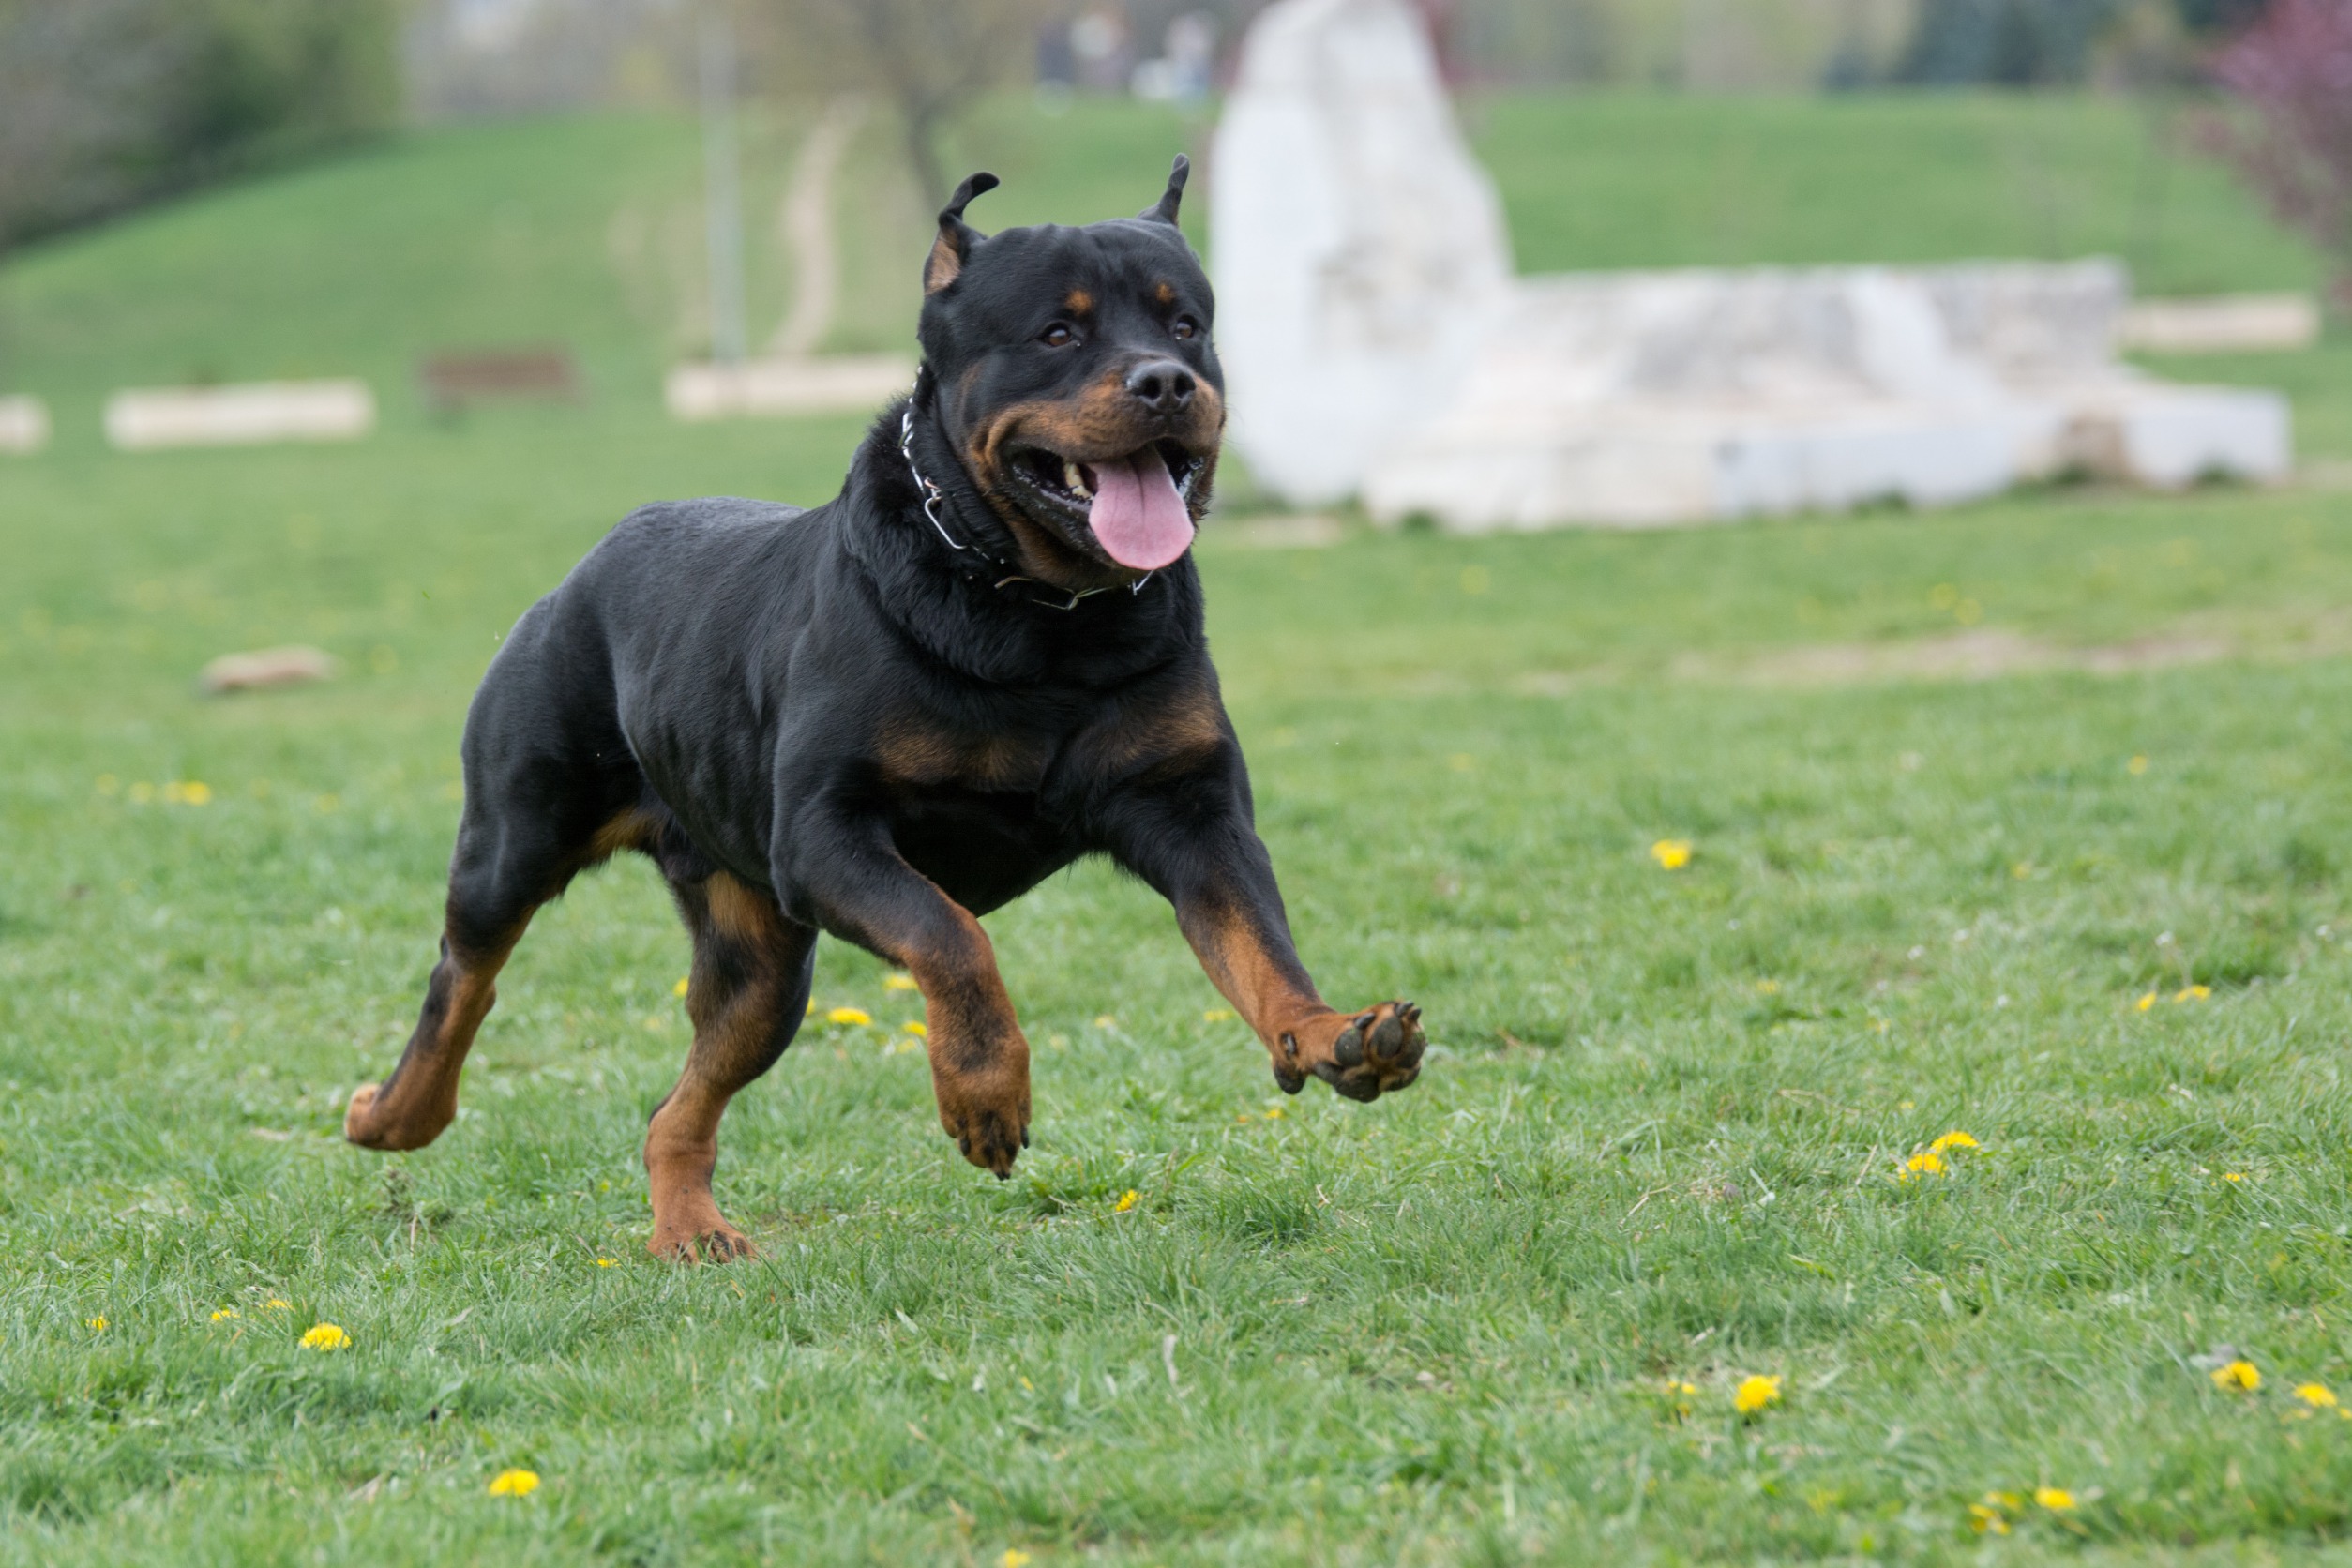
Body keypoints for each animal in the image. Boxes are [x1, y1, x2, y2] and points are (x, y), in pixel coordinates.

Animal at [340, 161, 1420, 1259]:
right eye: (1057, 334)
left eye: (1187, 324)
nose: (1164, 382)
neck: (1042, 616)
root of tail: (583, 569)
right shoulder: (826, 833)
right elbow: (952, 933)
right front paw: (985, 1091)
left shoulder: (1191, 811)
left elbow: (1258, 942)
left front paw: (1331, 1032)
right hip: (515, 835)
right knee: (463, 977)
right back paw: (393, 1115)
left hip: (764, 968)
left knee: (681, 1099)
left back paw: (689, 1228)